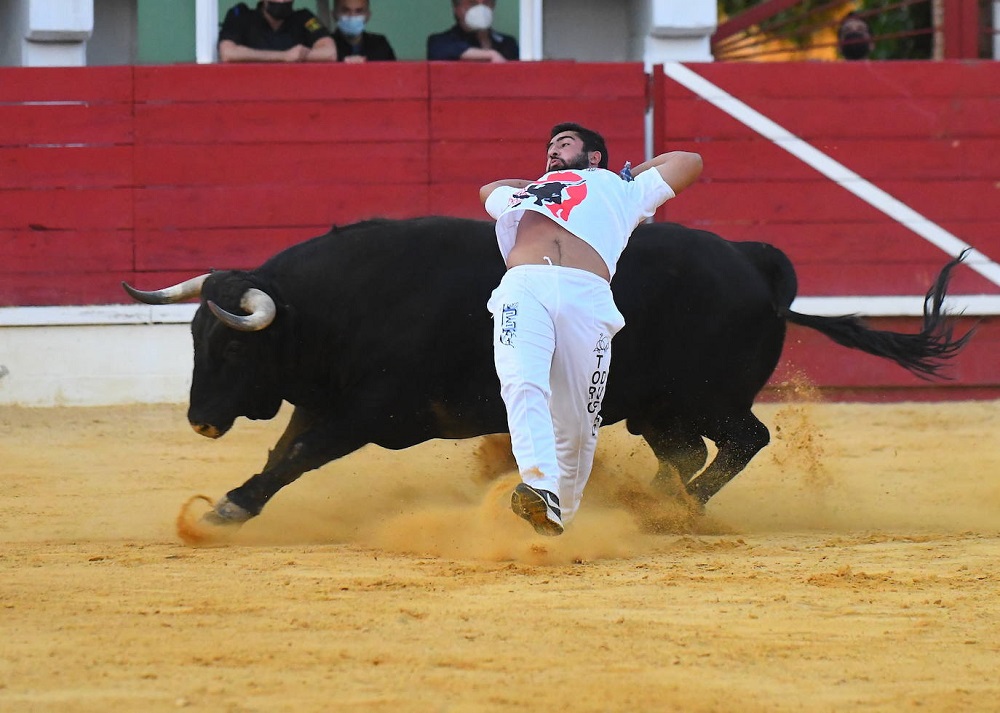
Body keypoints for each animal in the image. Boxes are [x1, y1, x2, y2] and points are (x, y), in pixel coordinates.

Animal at [119, 214, 968, 524]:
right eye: (195, 338)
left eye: (231, 346)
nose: (200, 419)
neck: (334, 306)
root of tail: (757, 268)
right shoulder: (326, 401)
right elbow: (283, 449)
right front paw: (233, 498)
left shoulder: (367, 414)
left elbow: (296, 457)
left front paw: (229, 506)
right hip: (659, 406)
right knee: (690, 451)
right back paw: (645, 502)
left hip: (706, 396)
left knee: (743, 440)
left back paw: (670, 509)